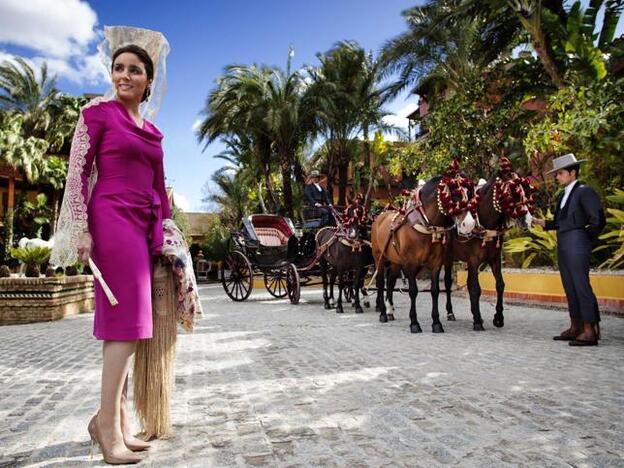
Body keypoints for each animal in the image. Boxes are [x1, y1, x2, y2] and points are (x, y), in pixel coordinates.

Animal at [370, 165, 478, 332]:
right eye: (454, 193)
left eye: (470, 192)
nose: (469, 224)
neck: (426, 225)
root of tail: (379, 218)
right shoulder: (410, 263)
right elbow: (413, 291)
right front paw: (414, 323)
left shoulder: (436, 263)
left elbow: (435, 291)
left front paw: (436, 323)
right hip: (379, 258)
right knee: (381, 282)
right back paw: (382, 313)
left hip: (396, 261)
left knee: (391, 281)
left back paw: (389, 311)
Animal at [444, 159, 536, 330]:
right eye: (513, 192)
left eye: (526, 191)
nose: (527, 220)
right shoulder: (473, 260)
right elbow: (476, 289)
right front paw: (477, 320)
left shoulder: (494, 259)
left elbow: (500, 285)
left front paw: (498, 317)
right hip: (446, 256)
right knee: (447, 282)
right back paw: (450, 312)